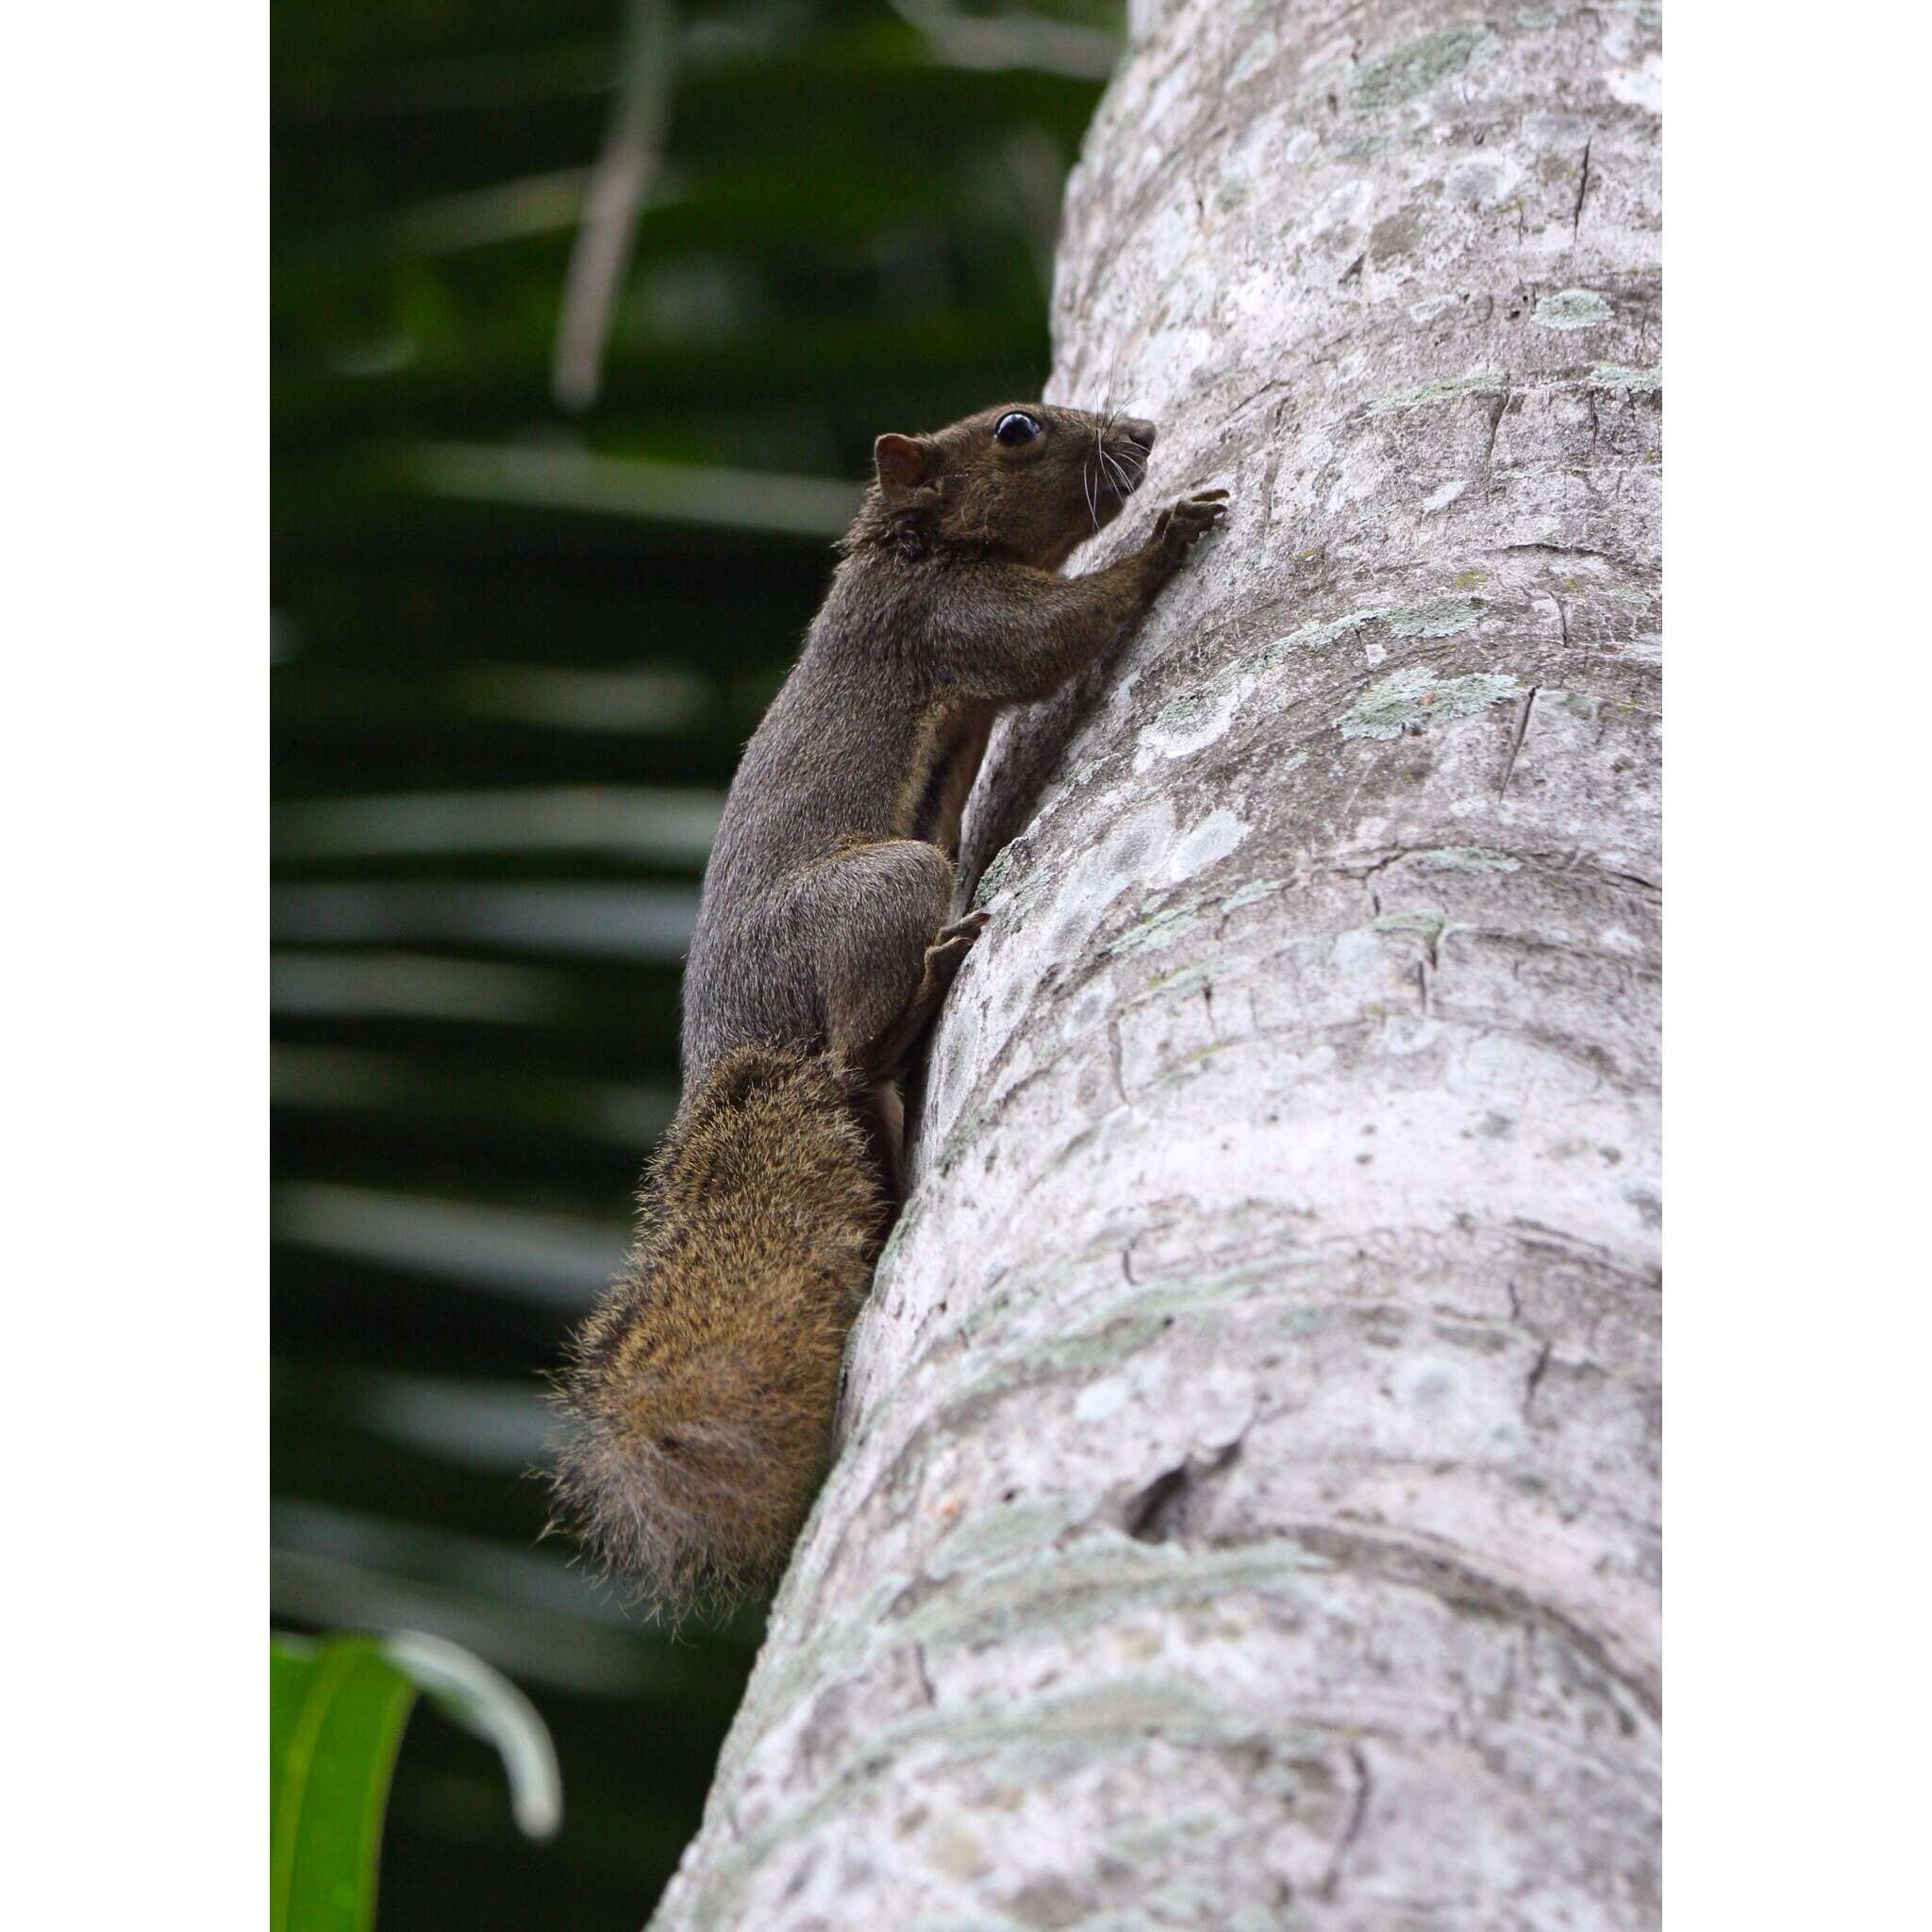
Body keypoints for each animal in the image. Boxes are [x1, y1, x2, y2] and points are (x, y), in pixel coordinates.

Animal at [552, 404, 1228, 1615]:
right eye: (1016, 428)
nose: (1143, 431)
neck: (913, 546)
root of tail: (742, 1058)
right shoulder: (948, 621)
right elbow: (1054, 638)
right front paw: (1166, 534)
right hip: (883, 887)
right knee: (850, 1056)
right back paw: (930, 982)